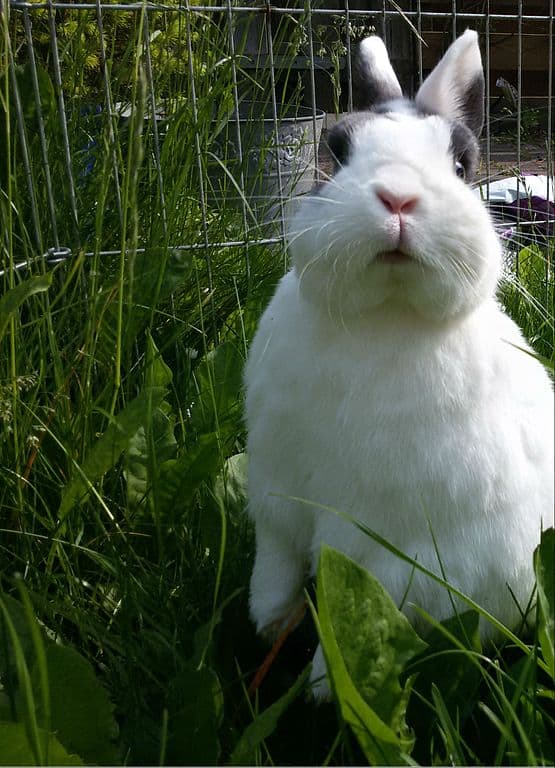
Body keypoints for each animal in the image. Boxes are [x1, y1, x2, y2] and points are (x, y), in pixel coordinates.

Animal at [244, 30, 554, 698]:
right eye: (337, 150)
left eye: (462, 166)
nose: (398, 197)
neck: (385, 314)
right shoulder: (277, 496)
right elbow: (276, 565)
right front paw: (267, 623)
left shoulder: (403, 550)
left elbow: (365, 608)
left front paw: (323, 685)